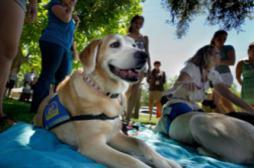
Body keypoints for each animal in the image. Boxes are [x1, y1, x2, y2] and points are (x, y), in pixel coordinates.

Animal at [33, 34, 181, 168]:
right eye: (115, 44)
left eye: (134, 45)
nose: (143, 55)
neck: (106, 94)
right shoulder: (93, 145)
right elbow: (129, 160)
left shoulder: (115, 136)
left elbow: (141, 143)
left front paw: (162, 161)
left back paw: (171, 162)